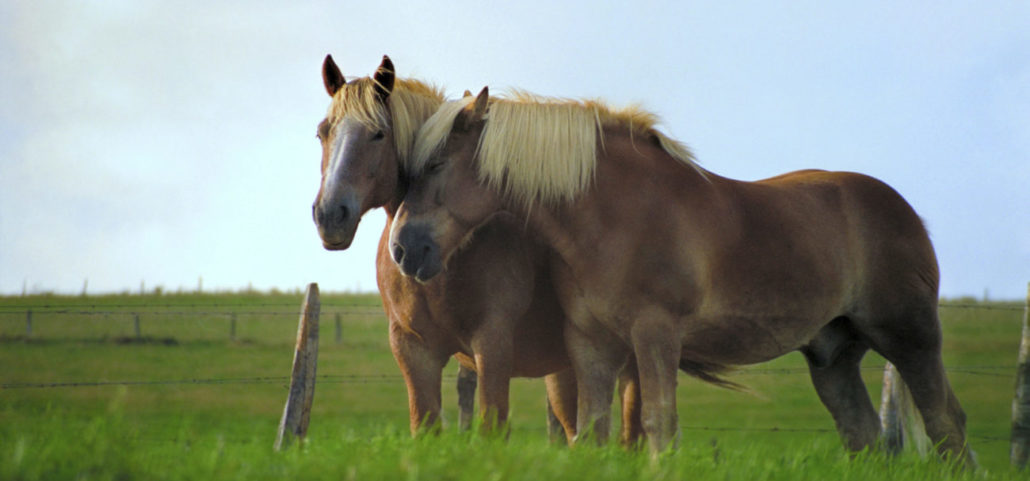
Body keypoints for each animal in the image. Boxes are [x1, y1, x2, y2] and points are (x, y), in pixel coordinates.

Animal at [389, 87, 968, 463]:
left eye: (436, 165)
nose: (402, 248)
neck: (617, 215)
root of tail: (904, 210)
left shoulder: (656, 334)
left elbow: (657, 425)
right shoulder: (590, 344)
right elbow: (593, 429)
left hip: (910, 337)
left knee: (946, 423)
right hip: (834, 357)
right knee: (864, 435)